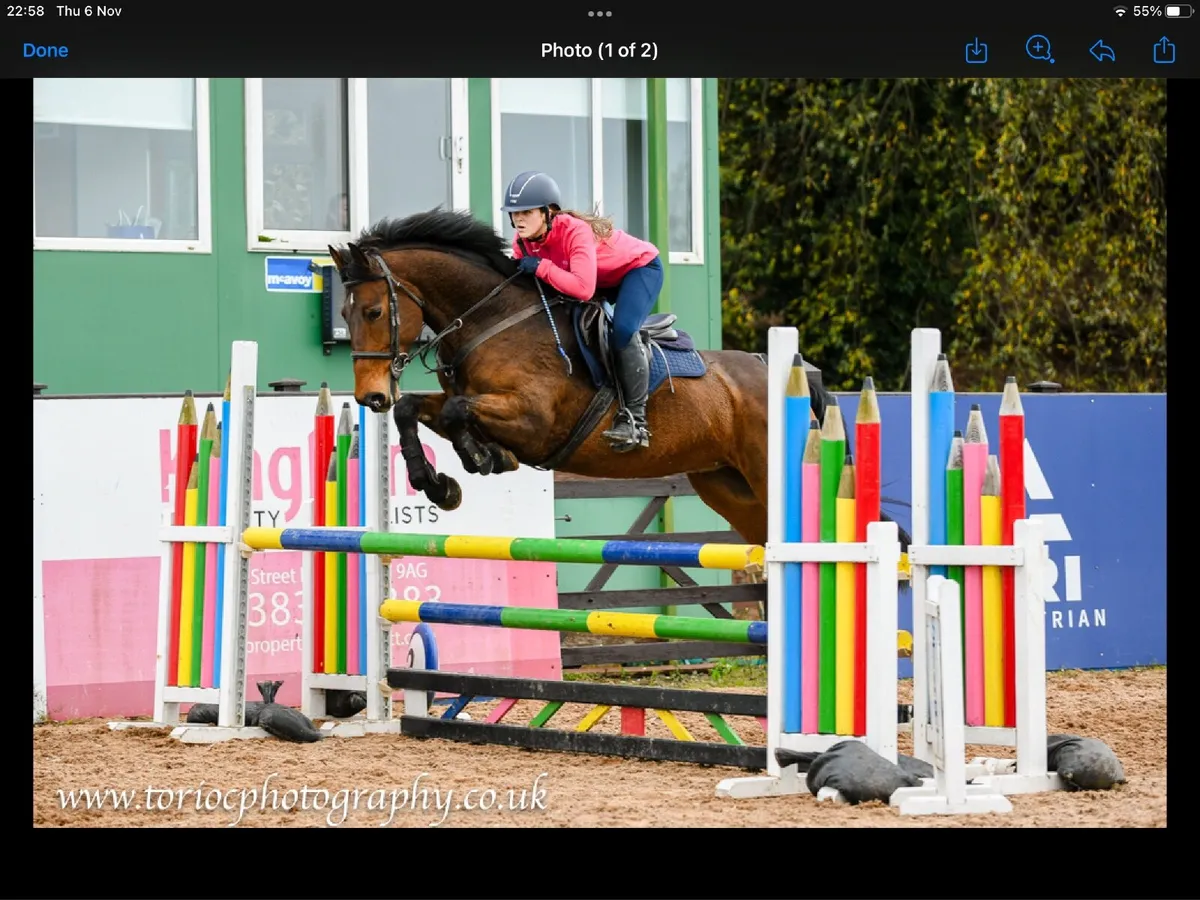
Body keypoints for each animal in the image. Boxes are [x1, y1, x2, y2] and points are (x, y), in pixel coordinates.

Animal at [327, 208, 907, 552]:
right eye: (346, 312)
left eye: (375, 311)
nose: (369, 396)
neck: (492, 319)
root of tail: (782, 369)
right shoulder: (467, 400)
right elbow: (418, 409)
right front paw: (440, 484)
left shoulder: (534, 419)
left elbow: (455, 412)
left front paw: (481, 458)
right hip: (729, 486)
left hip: (769, 474)